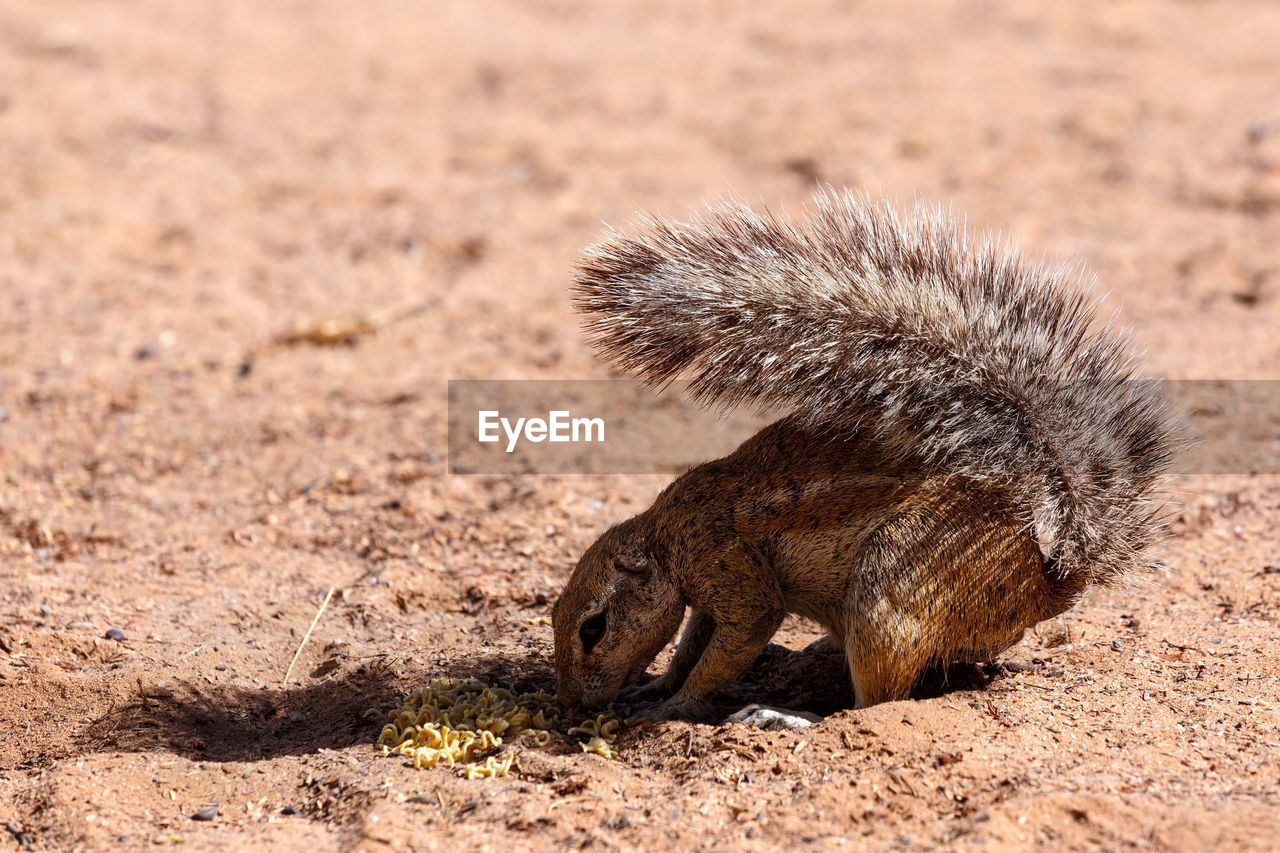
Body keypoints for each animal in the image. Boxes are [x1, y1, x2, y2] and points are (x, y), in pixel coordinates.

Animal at [550, 189, 1177, 722]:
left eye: (592, 628)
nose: (573, 706)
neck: (665, 534)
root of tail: (1047, 580)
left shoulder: (726, 565)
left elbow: (737, 640)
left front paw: (674, 707)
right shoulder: (708, 594)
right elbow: (691, 644)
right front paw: (657, 684)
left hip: (891, 586)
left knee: (874, 703)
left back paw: (786, 715)